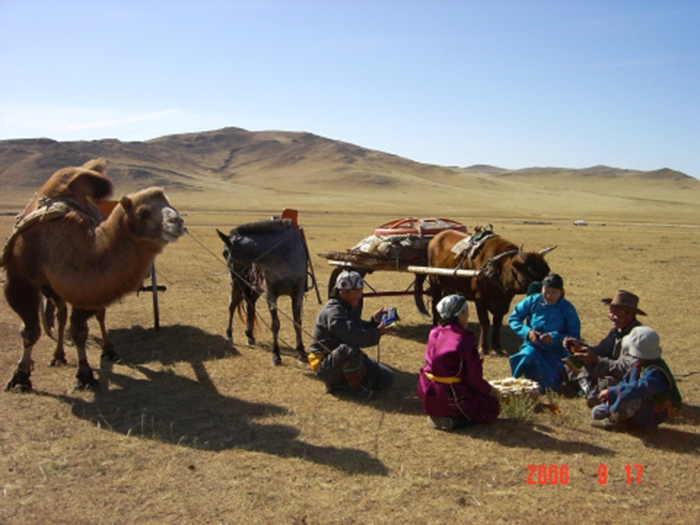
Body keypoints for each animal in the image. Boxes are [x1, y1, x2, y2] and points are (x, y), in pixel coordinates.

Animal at [0, 158, 186, 390]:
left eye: (172, 207)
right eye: (143, 212)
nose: (177, 222)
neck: (50, 240)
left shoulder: (86, 288)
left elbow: (80, 331)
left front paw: (85, 375)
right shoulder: (18, 280)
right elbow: (30, 331)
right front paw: (20, 377)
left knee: (97, 316)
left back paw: (108, 350)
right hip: (51, 289)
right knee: (60, 315)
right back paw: (58, 355)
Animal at [418, 228, 556, 354]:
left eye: (547, 270)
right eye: (531, 271)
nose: (547, 293)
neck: (497, 268)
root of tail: (436, 237)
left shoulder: (503, 302)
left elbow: (497, 323)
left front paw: (496, 347)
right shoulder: (480, 300)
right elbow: (485, 323)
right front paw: (483, 347)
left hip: (448, 287)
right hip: (435, 283)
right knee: (435, 304)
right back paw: (435, 326)